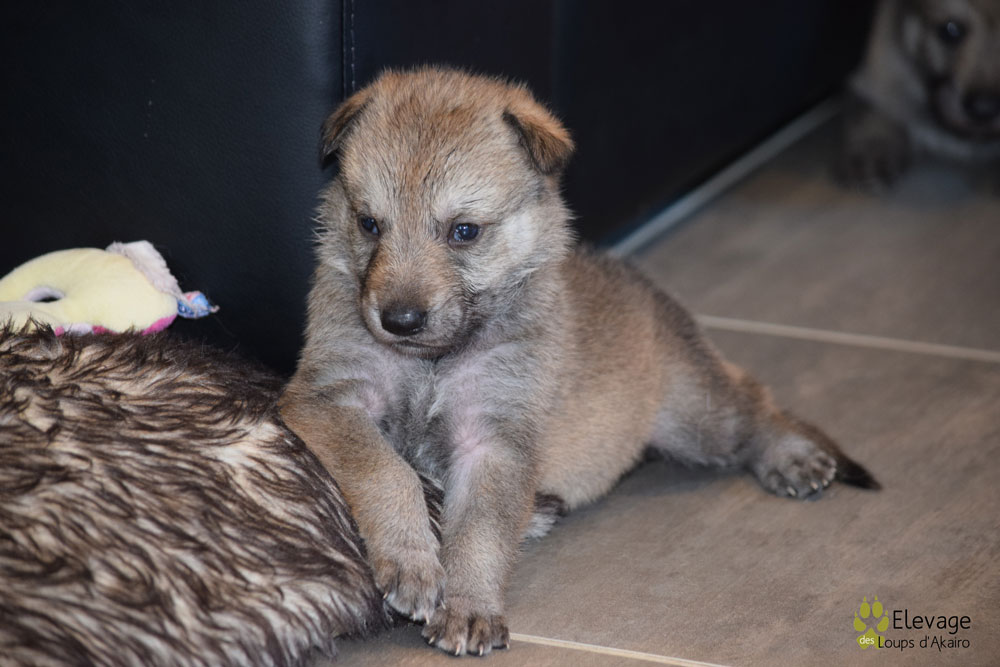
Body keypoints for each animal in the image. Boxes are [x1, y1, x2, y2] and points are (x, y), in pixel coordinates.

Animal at [279, 67, 879, 657]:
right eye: (369, 223)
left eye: (464, 231)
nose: (398, 320)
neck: (434, 363)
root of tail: (643, 283)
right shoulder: (330, 397)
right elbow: (386, 469)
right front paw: (413, 562)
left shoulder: (493, 440)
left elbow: (479, 531)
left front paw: (470, 606)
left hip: (698, 421)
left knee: (757, 401)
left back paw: (792, 456)